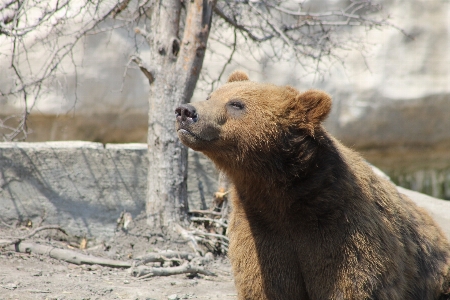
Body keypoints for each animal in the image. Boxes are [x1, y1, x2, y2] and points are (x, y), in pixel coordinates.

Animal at [175, 71, 450, 298]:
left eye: (236, 104)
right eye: (211, 95)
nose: (185, 111)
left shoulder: (342, 231)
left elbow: (353, 283)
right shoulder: (261, 232)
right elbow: (266, 285)